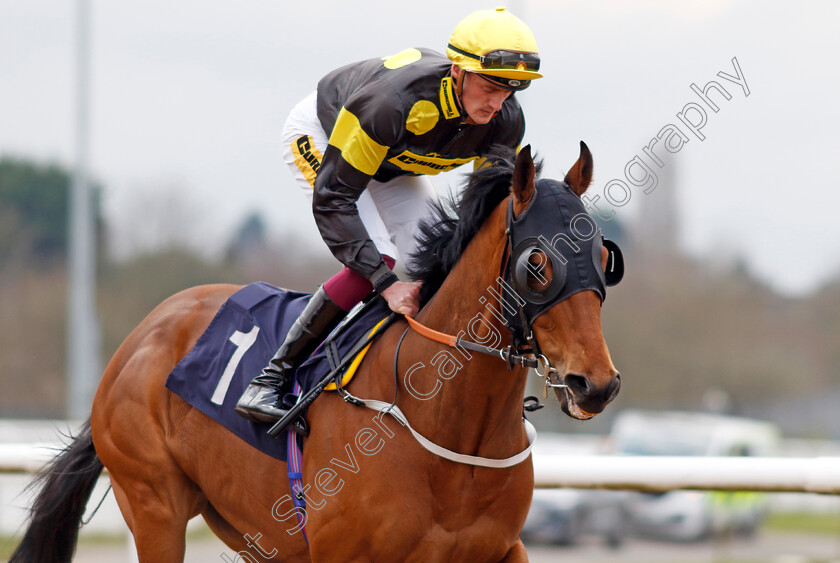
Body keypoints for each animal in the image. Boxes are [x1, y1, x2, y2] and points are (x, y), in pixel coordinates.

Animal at [9, 143, 620, 560]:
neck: (447, 426)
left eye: (603, 255)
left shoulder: (500, 548)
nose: (596, 383)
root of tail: (138, 338)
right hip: (154, 503)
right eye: (537, 263)